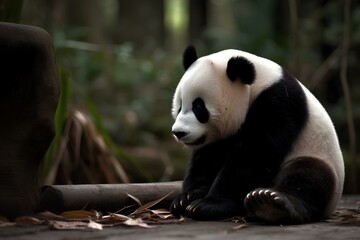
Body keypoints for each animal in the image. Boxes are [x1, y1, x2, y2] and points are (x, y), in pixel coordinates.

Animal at [170, 46, 344, 224]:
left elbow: (255, 154)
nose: (179, 132)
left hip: (318, 155)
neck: (258, 85)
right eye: (180, 106)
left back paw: (270, 203)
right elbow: (207, 159)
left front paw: (210, 204)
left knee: (307, 176)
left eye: (199, 107)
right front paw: (187, 197)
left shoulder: (279, 102)